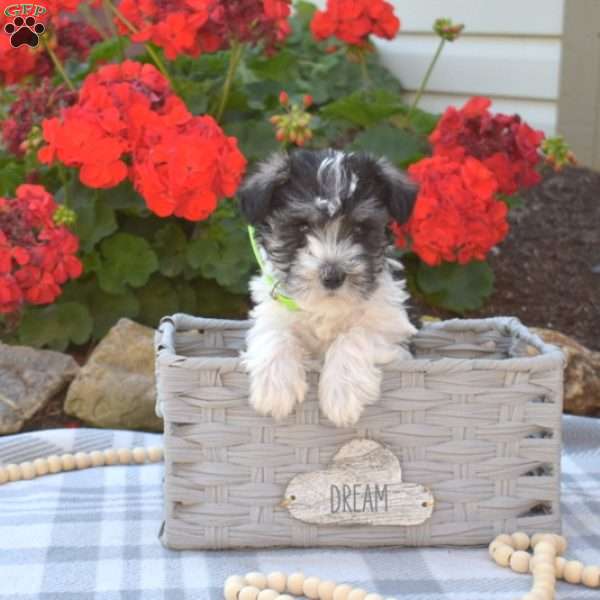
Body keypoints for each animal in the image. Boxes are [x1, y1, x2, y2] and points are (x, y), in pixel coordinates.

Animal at [239, 148, 418, 426]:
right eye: (302, 227)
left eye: (359, 228)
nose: (332, 275)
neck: (327, 307)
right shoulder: (271, 314)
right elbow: (275, 333)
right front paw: (274, 387)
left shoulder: (393, 330)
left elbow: (356, 335)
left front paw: (341, 394)